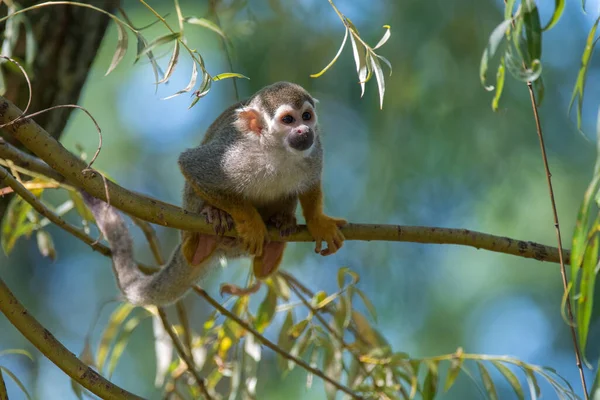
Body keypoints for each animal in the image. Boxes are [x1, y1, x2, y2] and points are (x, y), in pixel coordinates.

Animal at [84, 82, 346, 306]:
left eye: (307, 116)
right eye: (288, 119)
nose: (304, 130)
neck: (275, 151)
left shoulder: (315, 148)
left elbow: (310, 183)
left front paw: (318, 222)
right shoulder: (234, 155)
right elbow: (191, 165)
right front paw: (250, 222)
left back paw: (274, 243)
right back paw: (204, 238)